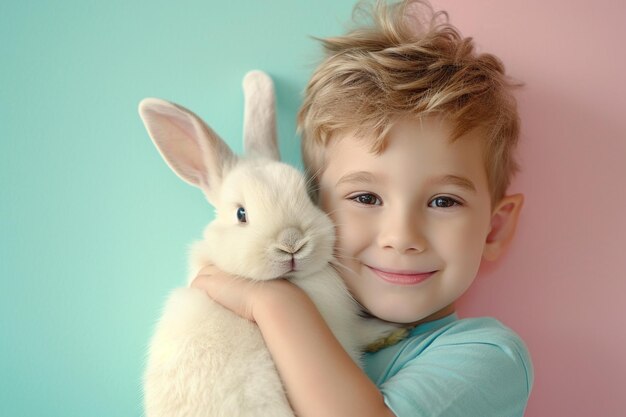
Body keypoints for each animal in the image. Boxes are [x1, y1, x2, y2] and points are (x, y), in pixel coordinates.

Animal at [140, 71, 394, 416]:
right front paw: (386, 329)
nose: (292, 243)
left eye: (308, 196)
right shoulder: (342, 333)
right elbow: (359, 333)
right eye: (241, 214)